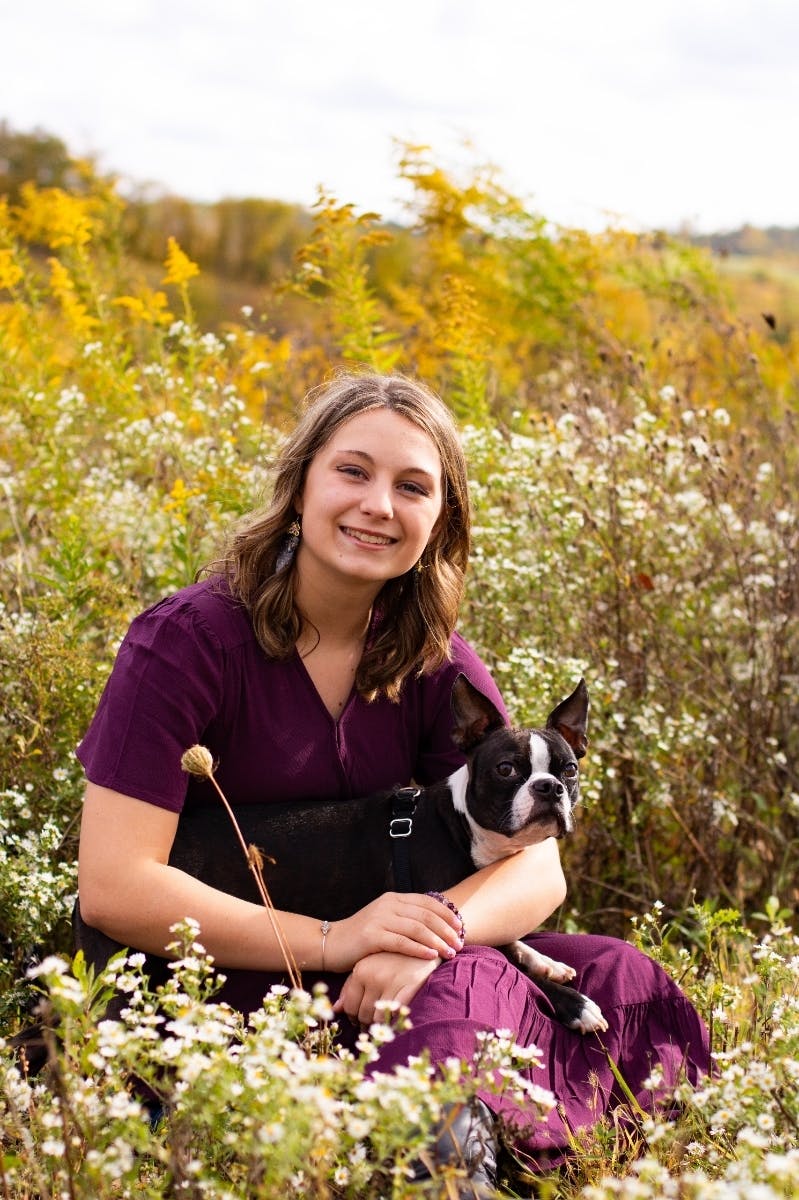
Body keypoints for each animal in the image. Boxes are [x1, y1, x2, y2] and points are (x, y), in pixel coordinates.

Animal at [74, 681, 604, 1036]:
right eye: (507, 769)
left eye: (570, 770)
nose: (549, 787)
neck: (465, 827)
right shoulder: (436, 913)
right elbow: (502, 956)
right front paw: (574, 1003)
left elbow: (510, 941)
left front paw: (545, 960)